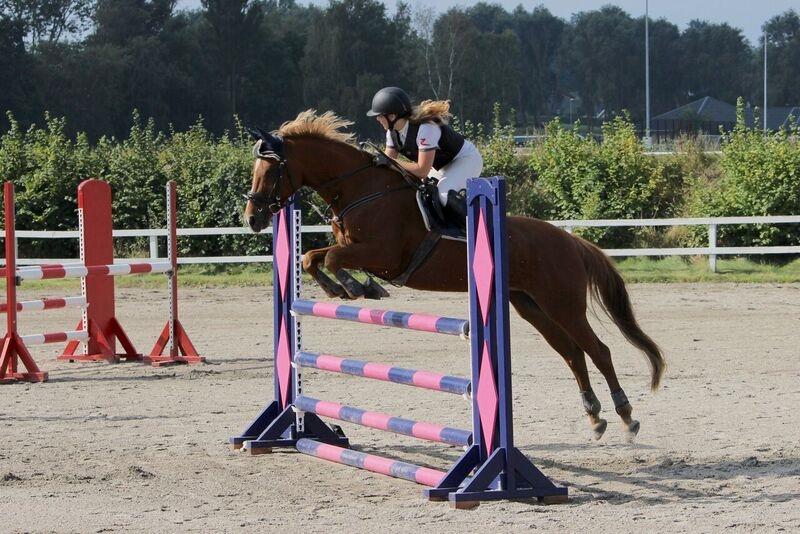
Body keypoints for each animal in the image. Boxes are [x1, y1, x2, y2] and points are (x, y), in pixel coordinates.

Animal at [242, 111, 664, 442]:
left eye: (271, 169)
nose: (253, 219)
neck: (360, 189)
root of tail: (570, 241)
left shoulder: (381, 254)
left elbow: (326, 258)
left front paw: (349, 286)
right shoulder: (358, 250)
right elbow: (313, 258)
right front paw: (354, 288)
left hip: (563, 304)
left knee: (598, 350)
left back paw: (626, 417)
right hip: (530, 305)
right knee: (573, 354)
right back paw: (594, 417)